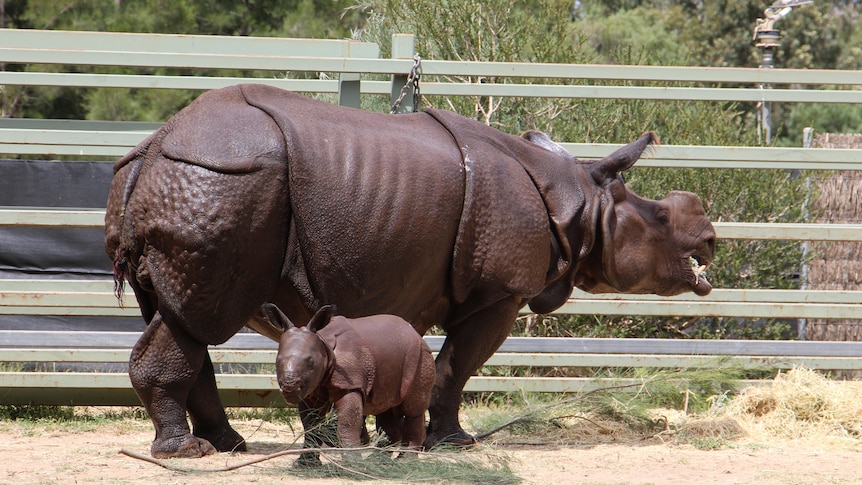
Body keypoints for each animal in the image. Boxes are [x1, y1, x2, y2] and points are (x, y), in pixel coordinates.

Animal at [260, 300, 436, 456]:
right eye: (277, 361)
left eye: (311, 362)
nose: (289, 385)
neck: (324, 344)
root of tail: (416, 334)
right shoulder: (310, 389)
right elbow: (310, 427)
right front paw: (305, 464)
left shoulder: (350, 385)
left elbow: (347, 426)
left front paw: (352, 461)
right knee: (386, 409)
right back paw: (379, 461)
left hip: (421, 358)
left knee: (413, 409)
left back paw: (403, 461)